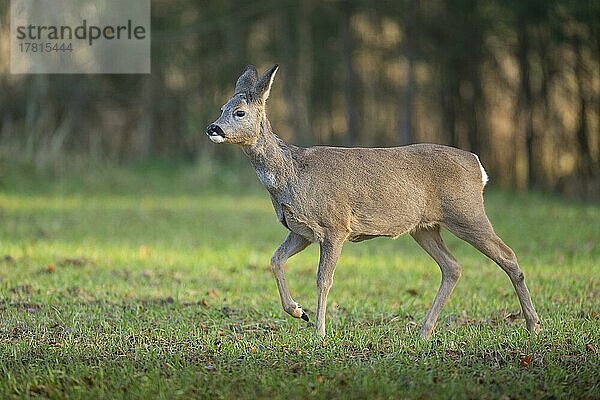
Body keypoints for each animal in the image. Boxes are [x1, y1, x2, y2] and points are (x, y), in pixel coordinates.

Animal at [204, 65, 540, 338]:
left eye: (239, 112)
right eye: (221, 107)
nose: (212, 128)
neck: (291, 175)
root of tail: (478, 166)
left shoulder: (335, 225)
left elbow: (323, 280)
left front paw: (319, 331)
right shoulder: (301, 231)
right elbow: (275, 260)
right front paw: (299, 312)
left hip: (467, 213)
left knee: (508, 256)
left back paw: (533, 325)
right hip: (425, 227)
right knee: (453, 267)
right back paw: (424, 331)